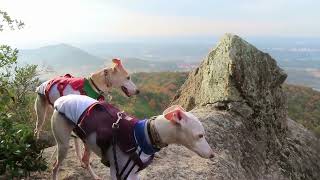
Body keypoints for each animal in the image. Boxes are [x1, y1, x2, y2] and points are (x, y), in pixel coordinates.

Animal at [51, 95, 214, 179]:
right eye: (200, 135)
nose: (213, 155)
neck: (145, 135)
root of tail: (62, 99)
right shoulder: (118, 172)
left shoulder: (134, 174)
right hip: (63, 144)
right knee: (55, 166)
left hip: (86, 140)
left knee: (85, 161)